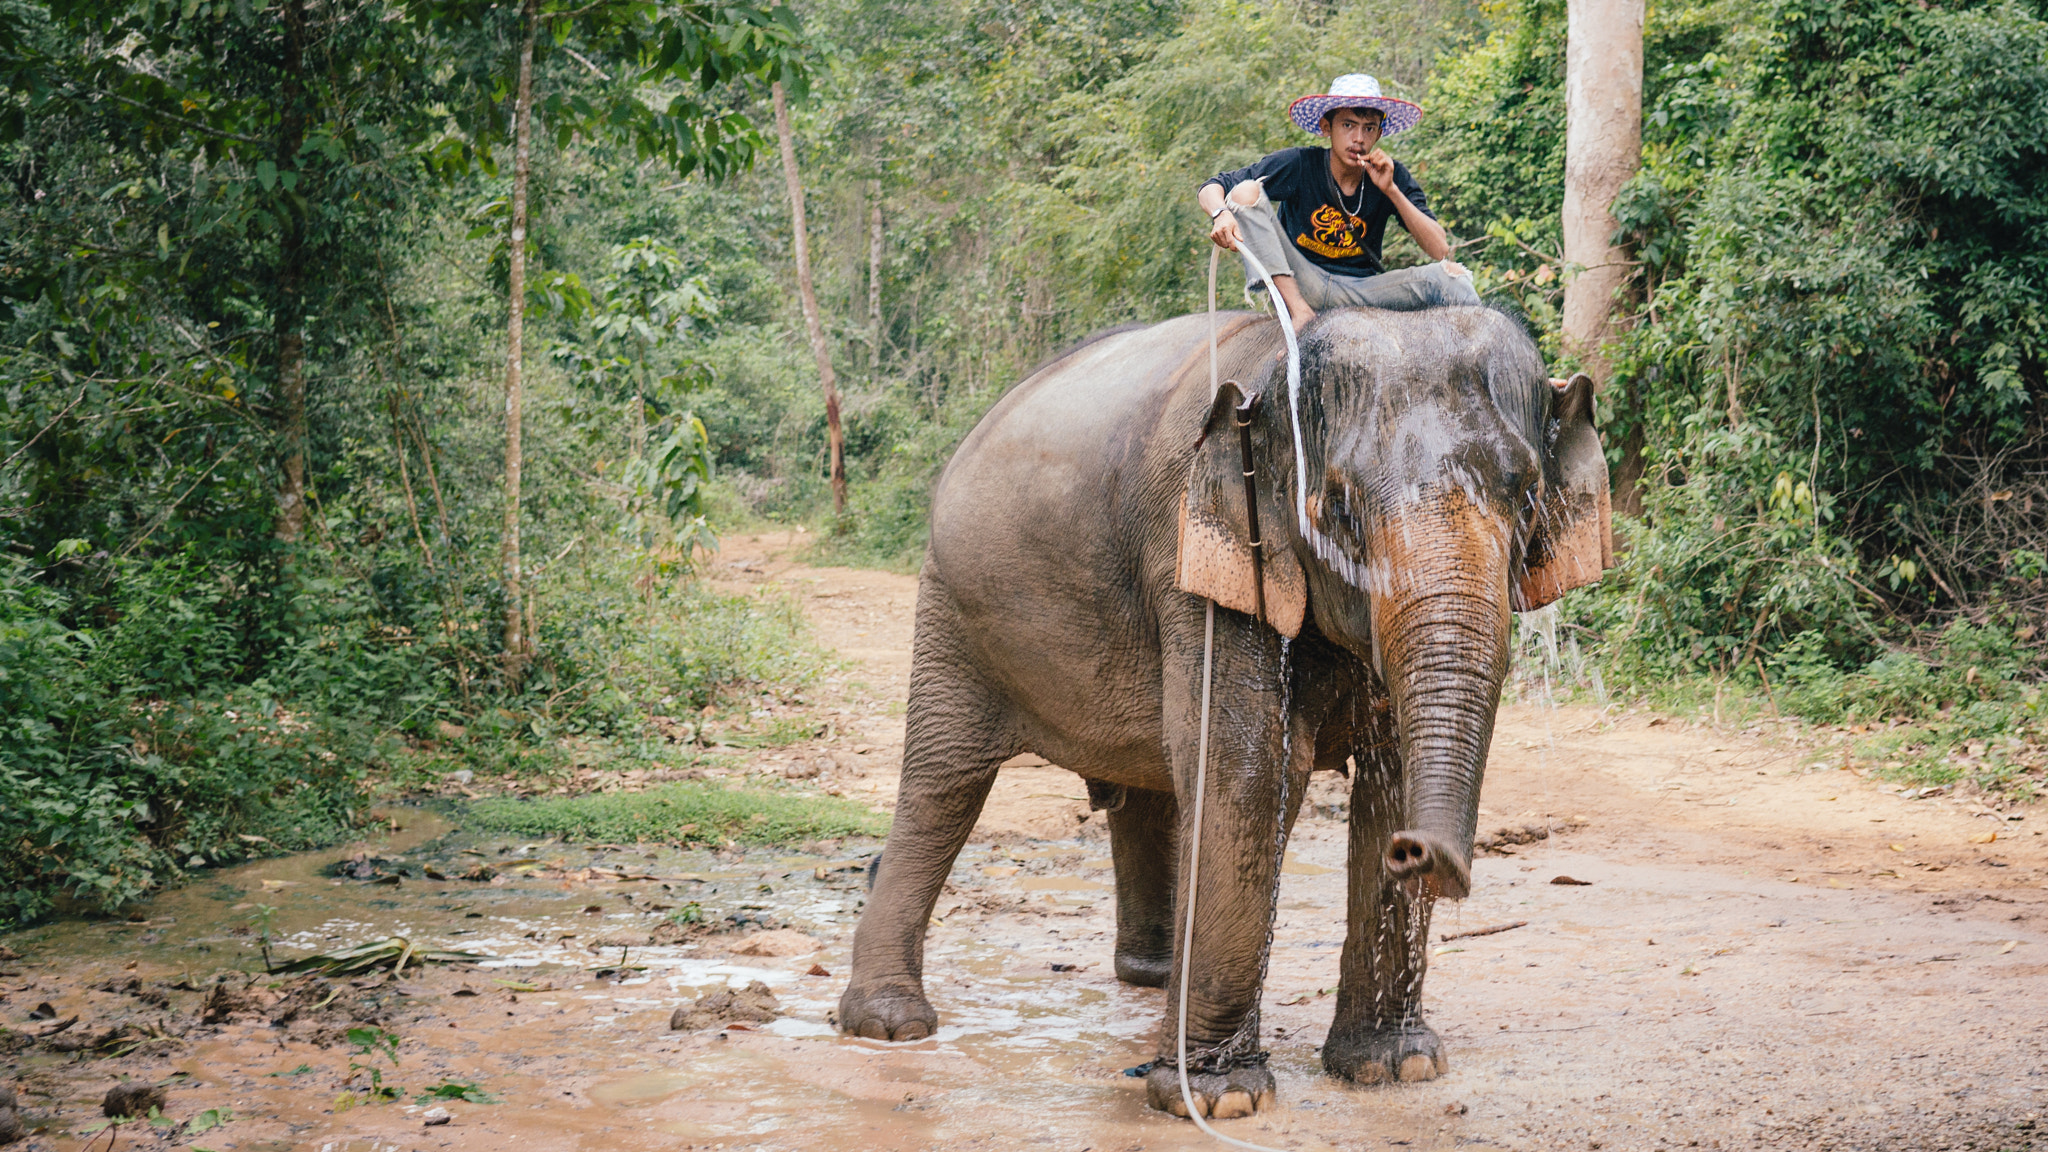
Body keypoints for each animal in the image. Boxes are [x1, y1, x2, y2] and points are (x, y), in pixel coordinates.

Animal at [839, 303, 1605, 1115]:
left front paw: (1394, 1068)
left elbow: (1385, 776)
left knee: (1144, 791)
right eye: (1337, 507)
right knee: (944, 783)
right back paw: (890, 1025)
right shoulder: (1197, 563)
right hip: (951, 607)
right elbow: (1250, 771)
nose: (1420, 853)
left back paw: (1150, 978)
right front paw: (1219, 1099)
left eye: (1528, 497)